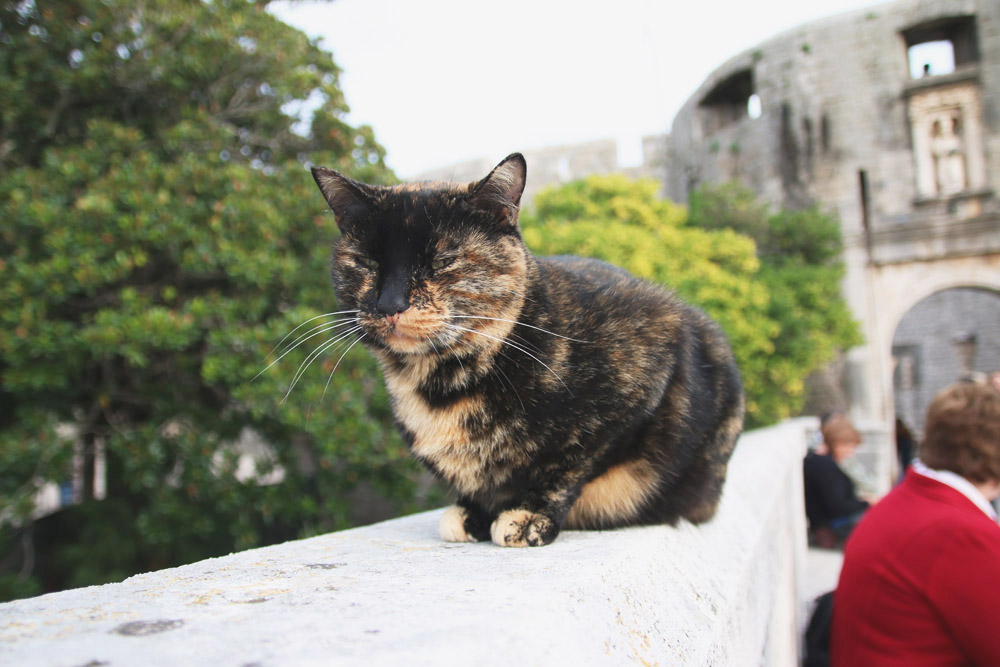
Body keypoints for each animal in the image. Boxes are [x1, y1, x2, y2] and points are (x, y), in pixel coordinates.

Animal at [310, 155, 744, 548]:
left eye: (444, 260)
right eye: (364, 261)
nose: (390, 304)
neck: (442, 381)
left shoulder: (647, 365)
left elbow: (568, 465)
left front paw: (529, 515)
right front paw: (472, 512)